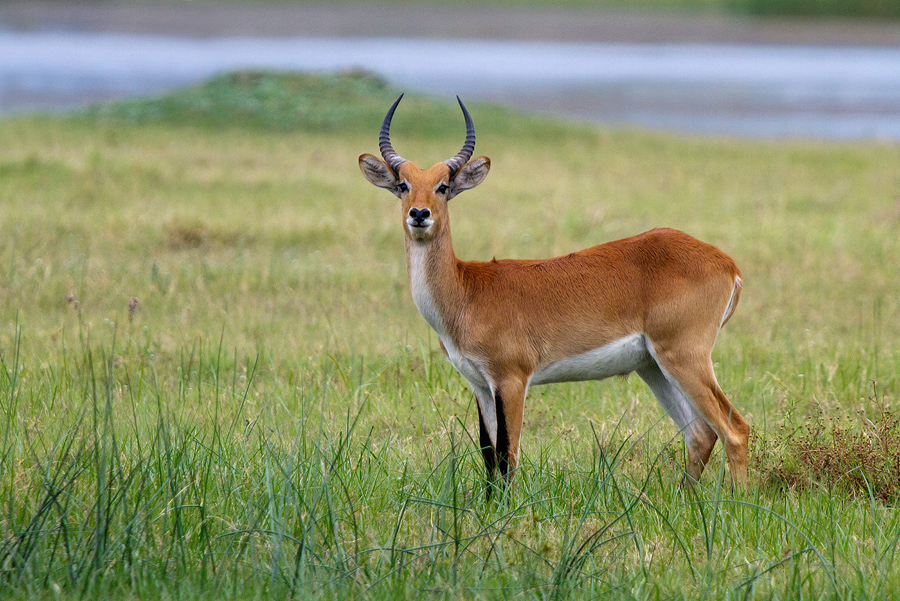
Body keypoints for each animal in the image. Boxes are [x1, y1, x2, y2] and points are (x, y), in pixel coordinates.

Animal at [360, 95, 752, 492]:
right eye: (403, 184)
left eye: (443, 186)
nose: (419, 214)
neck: (466, 291)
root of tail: (727, 263)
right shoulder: (480, 385)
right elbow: (488, 454)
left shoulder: (512, 379)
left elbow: (508, 453)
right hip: (653, 366)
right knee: (700, 433)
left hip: (684, 356)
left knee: (734, 429)